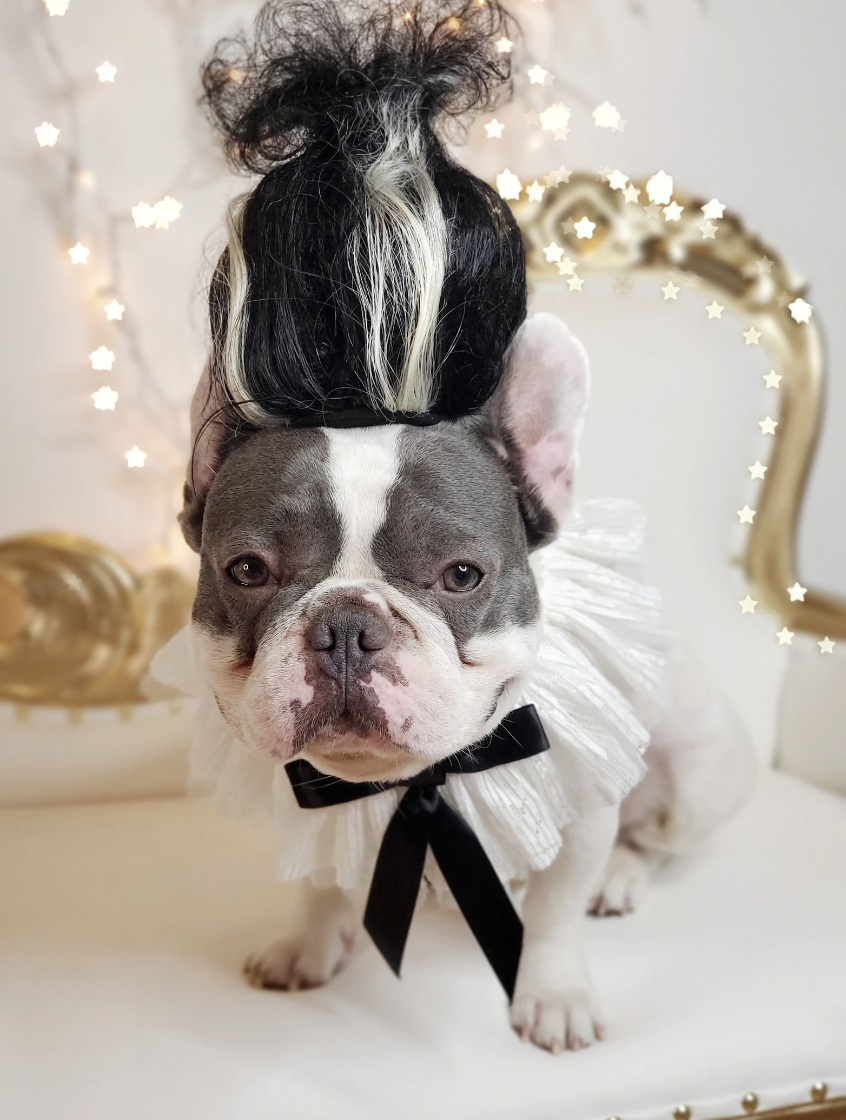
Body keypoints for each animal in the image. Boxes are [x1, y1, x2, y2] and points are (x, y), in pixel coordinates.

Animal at [155, 0, 757, 1052]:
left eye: (463, 576)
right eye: (249, 570)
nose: (347, 625)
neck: (413, 783)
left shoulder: (577, 806)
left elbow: (553, 907)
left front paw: (552, 995)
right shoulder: (313, 800)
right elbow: (322, 879)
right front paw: (308, 944)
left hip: (697, 770)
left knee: (650, 837)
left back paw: (624, 881)